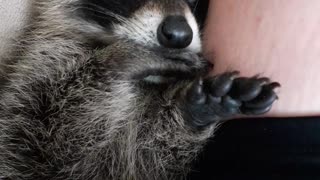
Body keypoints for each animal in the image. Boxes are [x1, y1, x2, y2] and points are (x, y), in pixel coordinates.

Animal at [0, 0, 278, 179]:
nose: (179, 35)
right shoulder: (40, 66)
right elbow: (48, 144)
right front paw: (126, 57)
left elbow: (149, 160)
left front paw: (193, 110)